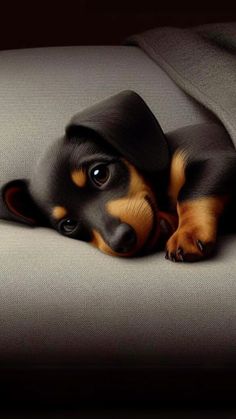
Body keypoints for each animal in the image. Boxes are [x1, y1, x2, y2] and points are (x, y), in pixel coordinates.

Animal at [0, 91, 236, 262]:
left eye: (99, 174)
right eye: (68, 224)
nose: (122, 241)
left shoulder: (220, 159)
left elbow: (190, 193)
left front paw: (188, 233)